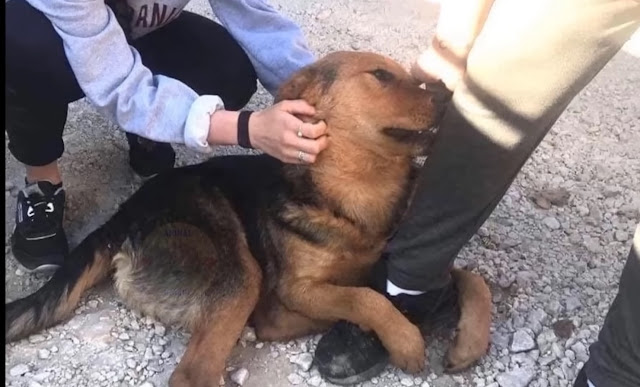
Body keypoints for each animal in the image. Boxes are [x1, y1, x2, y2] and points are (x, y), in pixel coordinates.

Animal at [5, 51, 490, 387]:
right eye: (382, 76)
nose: (452, 95)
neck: (357, 189)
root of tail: (123, 215)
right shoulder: (298, 286)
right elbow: (366, 298)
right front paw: (405, 336)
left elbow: (469, 278)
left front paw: (470, 338)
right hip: (238, 270)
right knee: (195, 371)